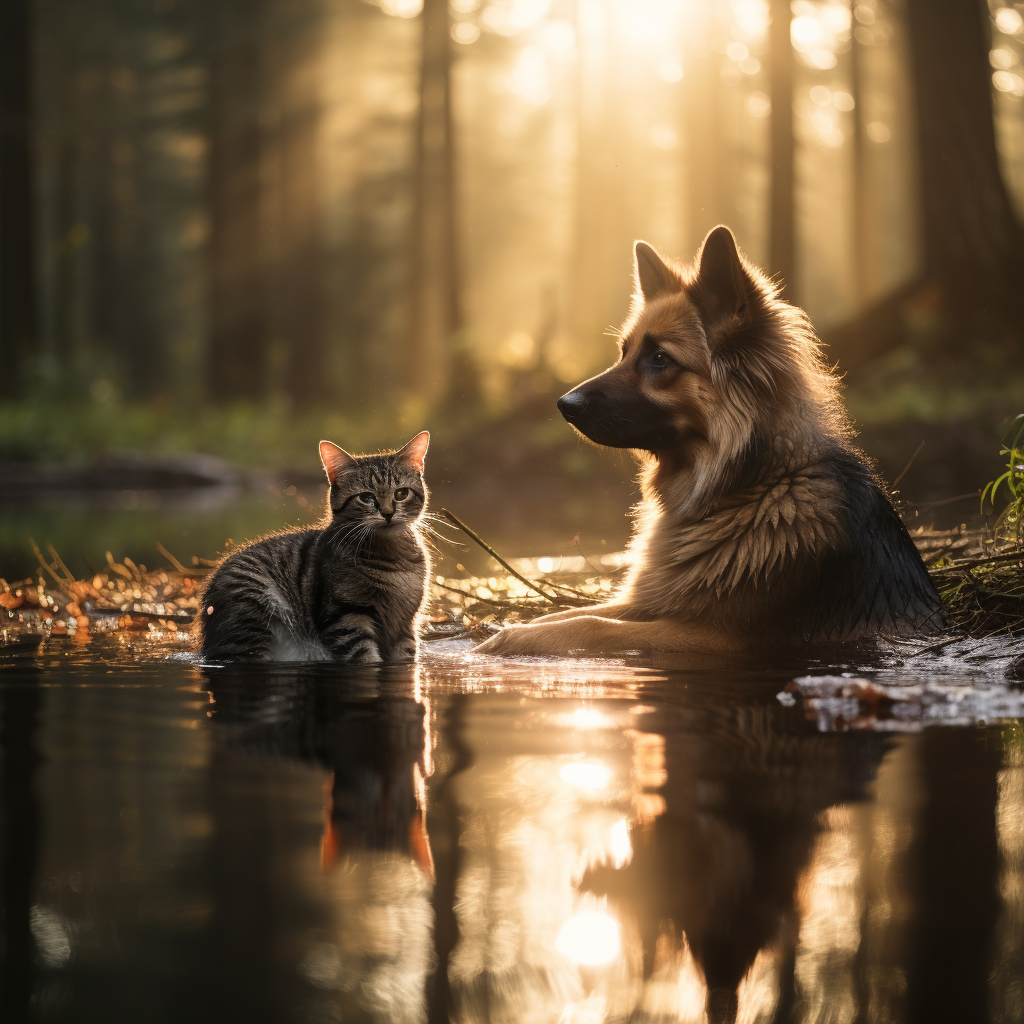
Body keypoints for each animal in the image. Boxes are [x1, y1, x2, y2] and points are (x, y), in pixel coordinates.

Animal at [197, 430, 430, 663]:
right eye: (366, 497)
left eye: (401, 494)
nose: (388, 513)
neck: (394, 556)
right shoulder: (346, 619)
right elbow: (366, 657)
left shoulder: (405, 626)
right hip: (253, 608)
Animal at [477, 225, 942, 655]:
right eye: (624, 353)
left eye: (659, 358)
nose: (564, 404)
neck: (749, 486)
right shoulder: (649, 601)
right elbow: (572, 612)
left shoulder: (717, 636)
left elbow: (591, 625)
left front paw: (506, 639)